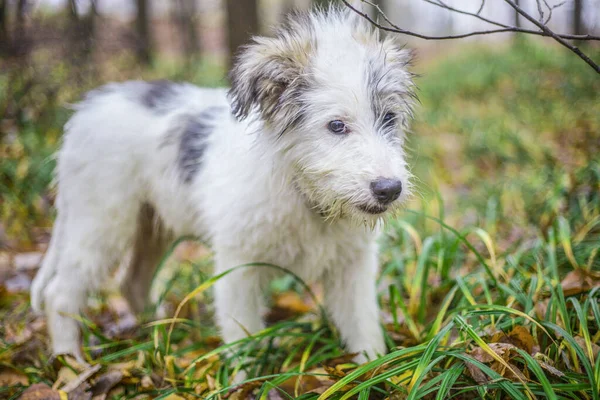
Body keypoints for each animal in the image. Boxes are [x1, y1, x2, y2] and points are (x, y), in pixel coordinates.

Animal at [30, 6, 414, 368]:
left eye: (389, 118)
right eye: (336, 125)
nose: (389, 189)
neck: (302, 191)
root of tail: (84, 112)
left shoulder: (353, 268)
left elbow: (364, 330)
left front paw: (374, 373)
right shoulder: (238, 268)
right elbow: (243, 341)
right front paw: (243, 382)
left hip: (151, 226)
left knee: (131, 282)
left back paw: (163, 336)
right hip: (100, 222)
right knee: (60, 293)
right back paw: (70, 362)